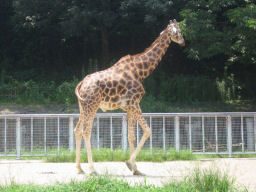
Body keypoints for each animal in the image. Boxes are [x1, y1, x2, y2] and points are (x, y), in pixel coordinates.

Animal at [74, 19, 184, 176]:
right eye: (179, 31)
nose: (183, 42)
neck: (141, 71)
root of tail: (81, 84)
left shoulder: (129, 106)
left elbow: (131, 136)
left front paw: (136, 169)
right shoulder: (134, 103)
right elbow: (147, 130)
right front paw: (129, 163)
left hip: (82, 106)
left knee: (77, 130)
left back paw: (79, 168)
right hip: (92, 106)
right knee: (86, 131)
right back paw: (93, 169)